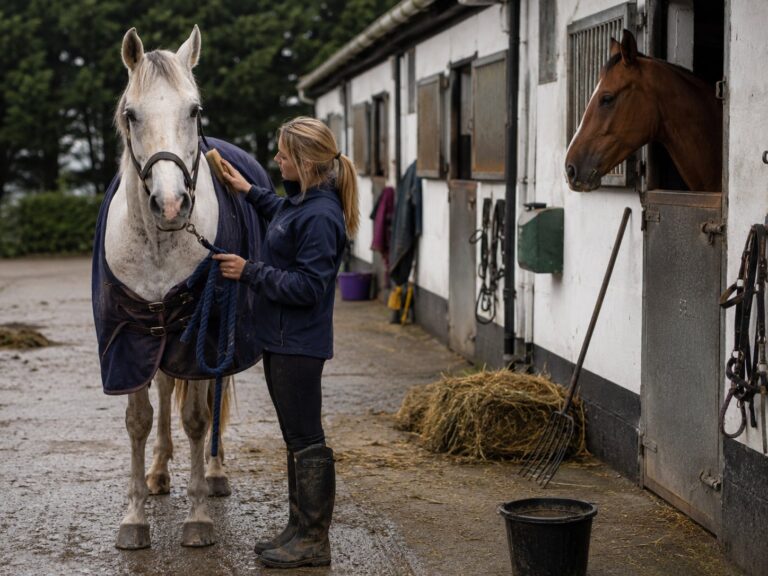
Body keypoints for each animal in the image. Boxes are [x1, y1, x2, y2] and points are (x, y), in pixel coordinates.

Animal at [95, 26, 266, 549]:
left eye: (194, 110)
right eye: (131, 114)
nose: (170, 205)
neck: (157, 242)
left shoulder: (200, 334)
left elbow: (197, 418)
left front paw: (198, 517)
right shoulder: (129, 335)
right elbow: (138, 421)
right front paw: (134, 517)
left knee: (212, 398)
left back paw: (214, 473)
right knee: (166, 385)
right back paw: (158, 472)